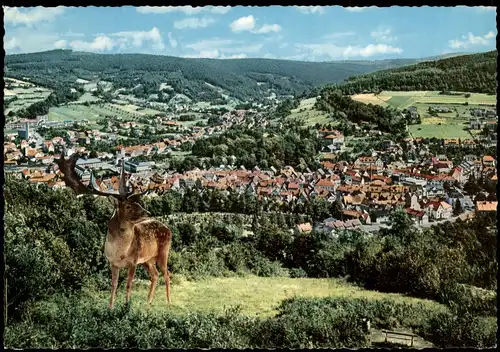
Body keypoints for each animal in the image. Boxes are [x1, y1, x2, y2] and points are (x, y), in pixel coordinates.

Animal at [55, 153, 173, 310]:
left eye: (138, 202)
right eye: (128, 206)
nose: (147, 212)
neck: (120, 253)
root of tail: (168, 229)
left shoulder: (133, 262)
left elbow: (128, 285)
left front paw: (127, 306)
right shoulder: (112, 263)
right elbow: (114, 285)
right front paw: (110, 307)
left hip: (163, 252)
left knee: (166, 274)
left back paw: (169, 302)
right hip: (148, 259)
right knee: (155, 275)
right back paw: (148, 302)